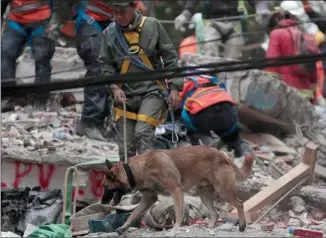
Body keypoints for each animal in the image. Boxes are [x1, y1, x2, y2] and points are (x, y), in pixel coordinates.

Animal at [103, 145, 256, 234]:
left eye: (105, 187)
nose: (102, 202)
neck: (136, 170)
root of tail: (222, 154)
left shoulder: (176, 190)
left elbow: (178, 212)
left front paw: (176, 228)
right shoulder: (149, 198)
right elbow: (134, 213)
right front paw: (124, 227)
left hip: (223, 192)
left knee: (239, 204)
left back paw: (242, 226)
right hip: (204, 196)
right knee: (215, 213)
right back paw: (211, 227)